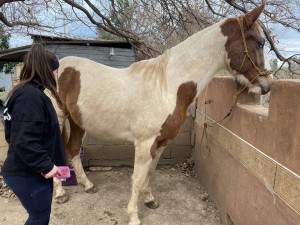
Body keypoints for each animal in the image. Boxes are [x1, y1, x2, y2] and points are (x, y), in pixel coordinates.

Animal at [51, 3, 272, 225]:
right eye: (260, 43)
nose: (267, 86)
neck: (167, 86)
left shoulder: (161, 141)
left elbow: (150, 172)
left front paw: (149, 200)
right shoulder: (144, 143)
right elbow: (137, 177)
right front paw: (133, 216)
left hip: (77, 122)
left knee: (73, 150)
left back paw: (87, 185)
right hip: (59, 121)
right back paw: (60, 194)